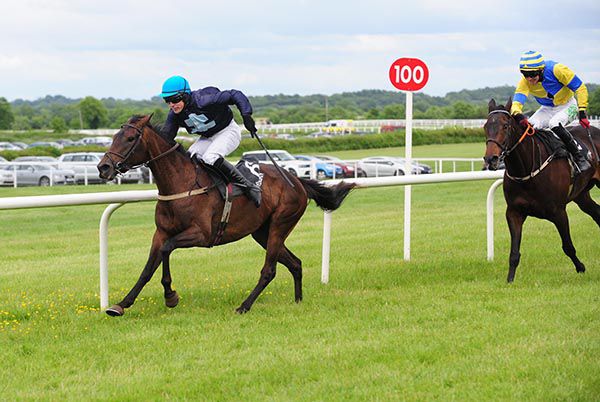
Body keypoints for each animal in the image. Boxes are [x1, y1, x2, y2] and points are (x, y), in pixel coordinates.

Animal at [97, 115, 356, 316]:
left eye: (130, 139)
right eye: (114, 137)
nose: (103, 167)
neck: (181, 183)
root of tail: (297, 181)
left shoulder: (202, 235)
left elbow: (167, 249)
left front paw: (170, 296)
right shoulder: (160, 232)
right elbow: (148, 268)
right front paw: (121, 304)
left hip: (280, 224)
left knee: (269, 270)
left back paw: (244, 306)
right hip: (262, 232)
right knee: (295, 263)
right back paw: (298, 301)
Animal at [483, 98, 600, 282]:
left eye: (505, 126)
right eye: (485, 126)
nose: (491, 159)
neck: (527, 169)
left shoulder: (558, 212)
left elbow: (568, 246)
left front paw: (580, 267)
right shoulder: (514, 212)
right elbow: (514, 253)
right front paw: (510, 280)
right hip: (582, 196)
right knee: (597, 213)